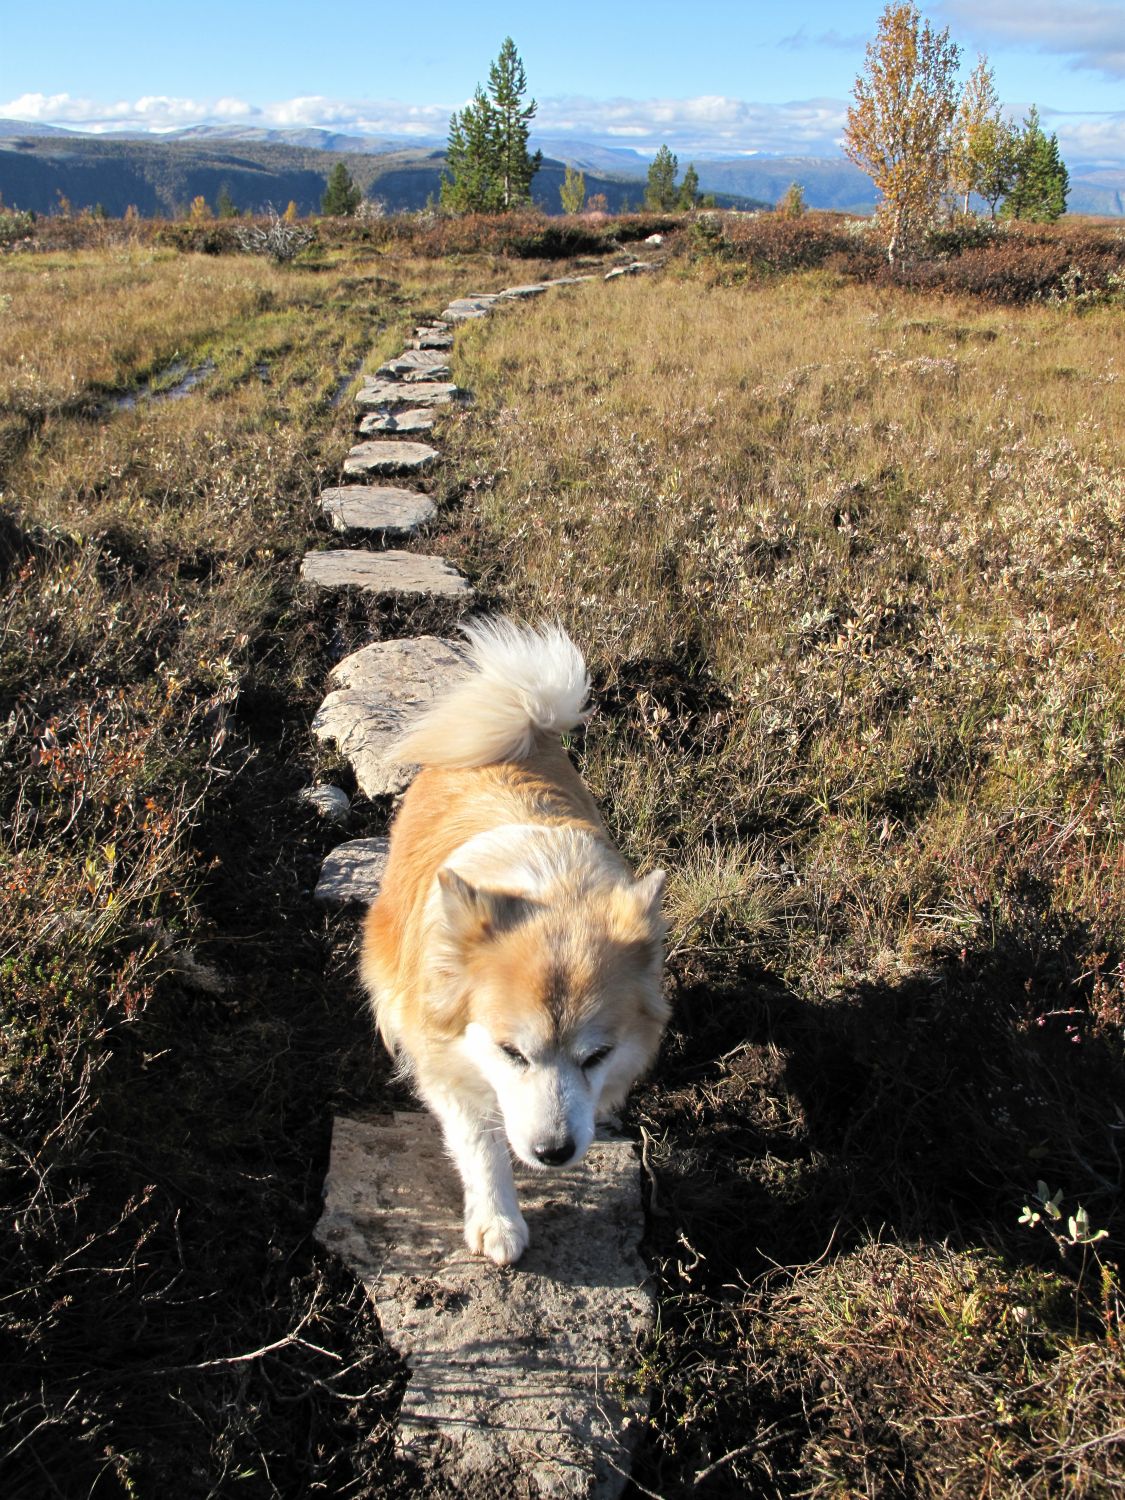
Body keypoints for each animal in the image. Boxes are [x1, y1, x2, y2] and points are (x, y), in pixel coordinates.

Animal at [363, 621, 669, 1266]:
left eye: (597, 1056)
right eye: (511, 1053)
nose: (554, 1153)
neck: (551, 891)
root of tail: (522, 724)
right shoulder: (448, 1061)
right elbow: (481, 1143)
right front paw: (497, 1220)